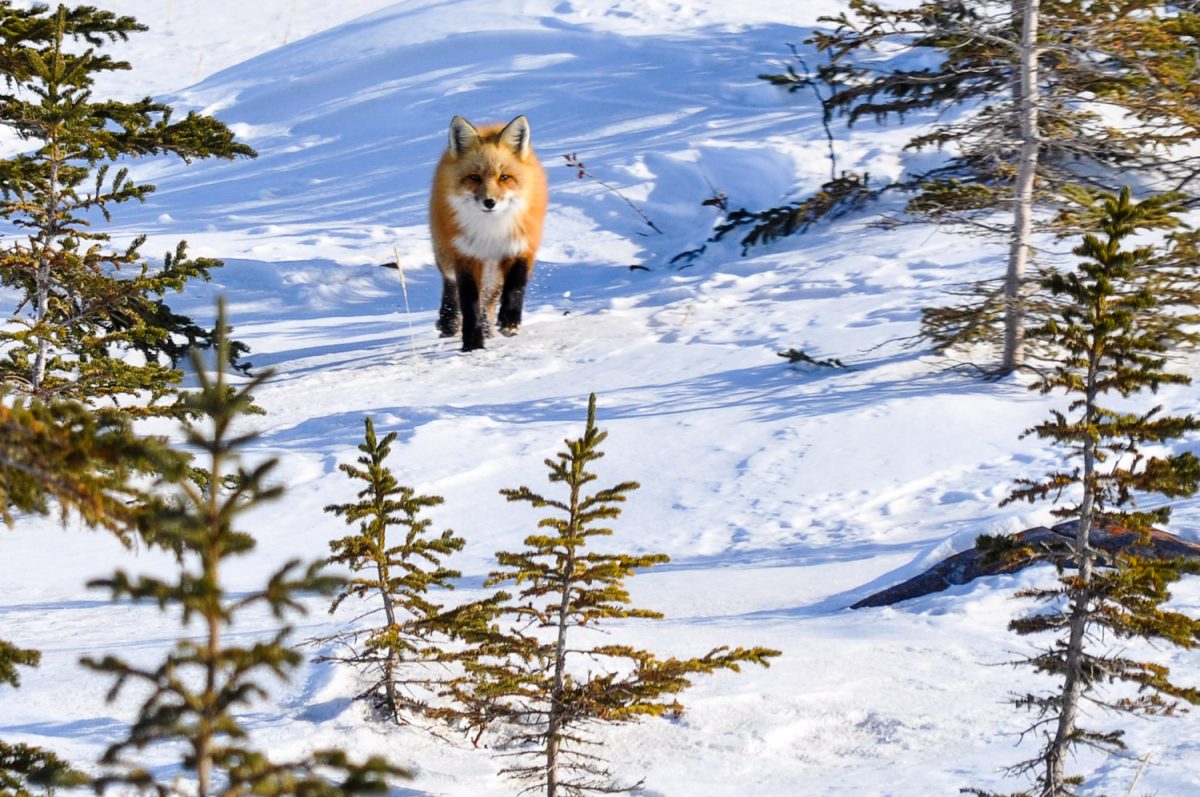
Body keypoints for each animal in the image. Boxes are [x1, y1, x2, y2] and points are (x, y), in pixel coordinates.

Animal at [429, 114, 548, 352]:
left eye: (504, 177)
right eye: (474, 177)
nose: (489, 202)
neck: (492, 230)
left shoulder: (522, 246)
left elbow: (515, 287)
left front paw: (509, 322)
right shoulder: (466, 255)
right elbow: (470, 304)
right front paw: (473, 345)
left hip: (494, 269)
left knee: (490, 297)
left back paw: (488, 328)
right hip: (446, 254)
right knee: (450, 284)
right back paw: (449, 322)